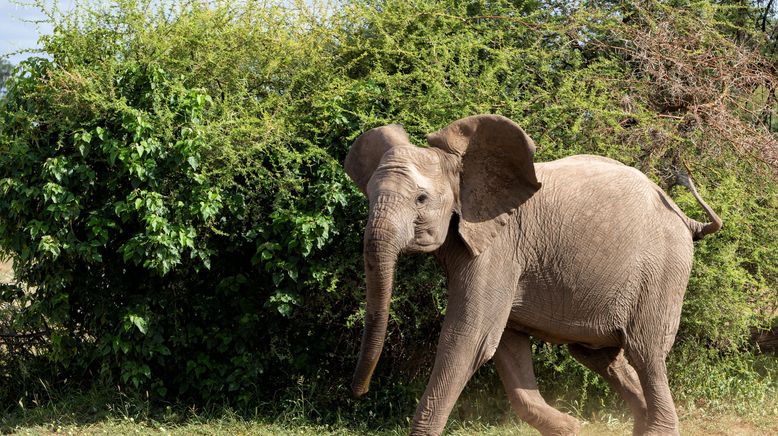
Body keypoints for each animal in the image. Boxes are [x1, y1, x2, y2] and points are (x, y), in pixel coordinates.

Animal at [342, 115, 720, 436]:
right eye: (370, 196)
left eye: (421, 199)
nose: (358, 392)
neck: (462, 168)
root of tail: (685, 217)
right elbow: (504, 343)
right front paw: (572, 428)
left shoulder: (501, 247)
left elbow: (470, 338)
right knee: (600, 356)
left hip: (664, 269)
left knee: (647, 352)